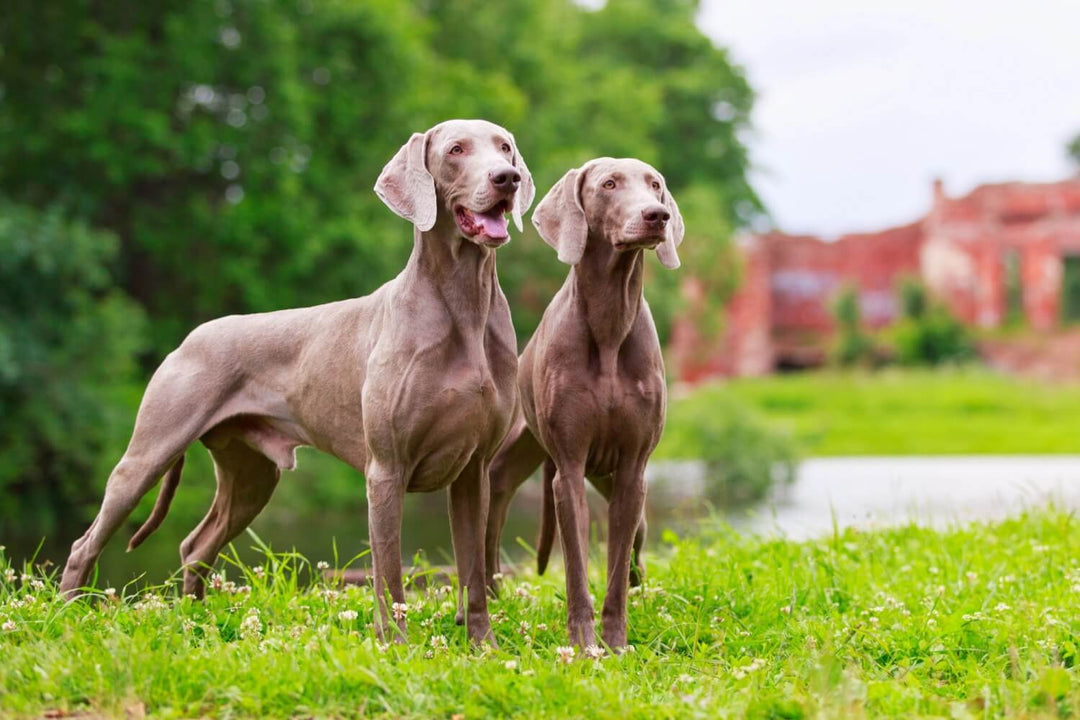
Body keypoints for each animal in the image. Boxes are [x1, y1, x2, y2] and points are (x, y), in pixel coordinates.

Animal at [488, 158, 682, 651]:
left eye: (656, 185)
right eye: (609, 184)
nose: (657, 215)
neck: (611, 320)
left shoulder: (633, 470)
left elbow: (614, 570)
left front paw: (616, 640)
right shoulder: (570, 470)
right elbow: (576, 565)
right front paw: (583, 641)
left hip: (613, 483)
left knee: (635, 547)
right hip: (512, 452)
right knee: (494, 503)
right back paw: (490, 591)